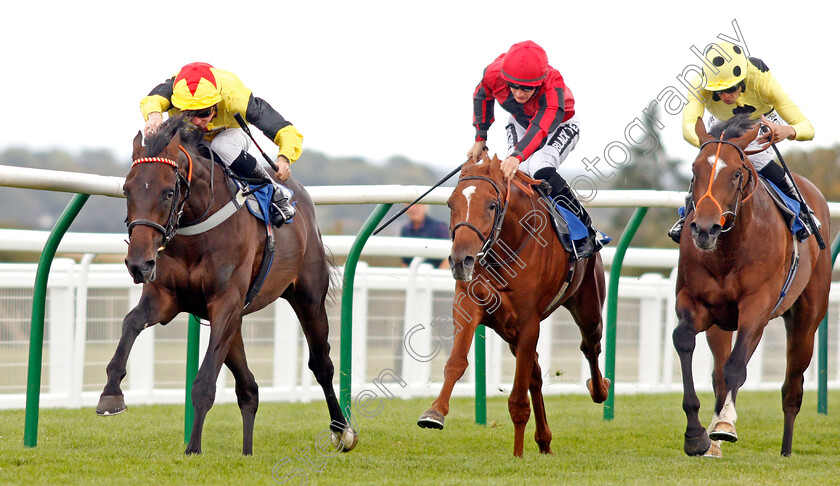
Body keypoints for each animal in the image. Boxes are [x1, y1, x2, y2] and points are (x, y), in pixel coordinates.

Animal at [96, 116, 358, 458]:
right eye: (127, 189)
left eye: (168, 192)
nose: (138, 264)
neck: (196, 229)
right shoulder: (166, 298)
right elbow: (130, 322)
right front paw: (111, 393)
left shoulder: (225, 302)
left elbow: (205, 381)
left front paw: (193, 447)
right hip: (237, 320)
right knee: (249, 387)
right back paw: (247, 451)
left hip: (307, 298)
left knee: (321, 364)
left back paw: (342, 431)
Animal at [418, 155, 612, 456]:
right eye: (451, 203)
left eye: (492, 204)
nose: (461, 260)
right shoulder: (469, 306)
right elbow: (456, 362)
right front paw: (434, 412)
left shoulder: (529, 322)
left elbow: (518, 400)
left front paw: (517, 454)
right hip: (509, 332)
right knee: (536, 375)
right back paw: (544, 440)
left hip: (588, 307)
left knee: (590, 346)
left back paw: (599, 387)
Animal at [672, 116, 832, 458]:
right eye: (694, 171)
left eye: (735, 173)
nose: (703, 229)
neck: (729, 250)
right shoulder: (696, 302)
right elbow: (685, 341)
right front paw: (696, 435)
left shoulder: (756, 306)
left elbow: (736, 366)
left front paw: (724, 425)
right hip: (722, 325)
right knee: (719, 374)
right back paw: (713, 443)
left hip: (806, 319)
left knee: (791, 386)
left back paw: (785, 449)